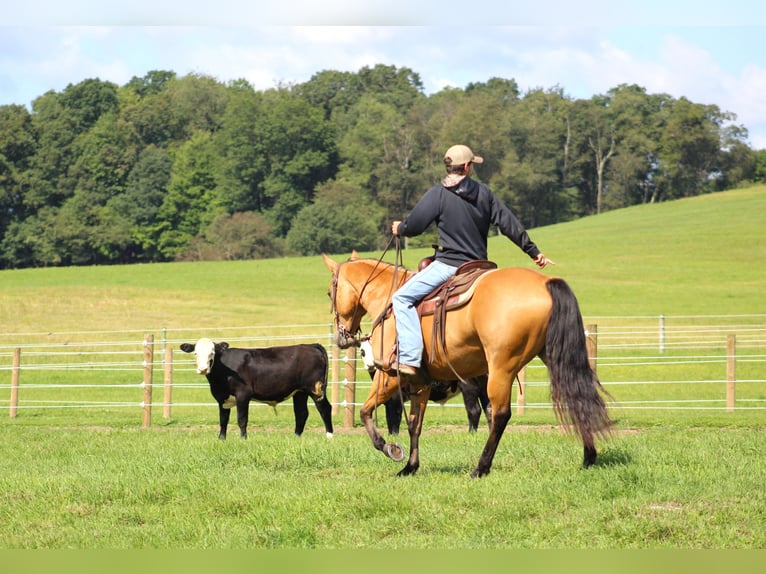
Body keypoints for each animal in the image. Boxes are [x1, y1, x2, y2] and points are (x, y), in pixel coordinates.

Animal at [183, 338, 336, 440]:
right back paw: (296, 436)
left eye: (212, 353)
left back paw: (329, 435)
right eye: (196, 353)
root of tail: (311, 345)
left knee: (325, 408)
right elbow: (223, 420)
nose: (203, 369)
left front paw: (243, 439)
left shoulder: (243, 395)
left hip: (316, 389)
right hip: (300, 392)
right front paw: (221, 439)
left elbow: (242, 419)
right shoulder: (222, 398)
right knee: (301, 413)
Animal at [322, 254, 612, 480]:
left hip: (501, 368)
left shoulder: (389, 376)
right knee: (577, 397)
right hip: (553, 357)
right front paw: (410, 467)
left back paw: (480, 468)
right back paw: (588, 457)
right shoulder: (420, 383)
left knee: (500, 415)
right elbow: (415, 423)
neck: (389, 299)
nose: (341, 337)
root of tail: (546, 283)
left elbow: (366, 411)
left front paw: (388, 448)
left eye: (329, 292)